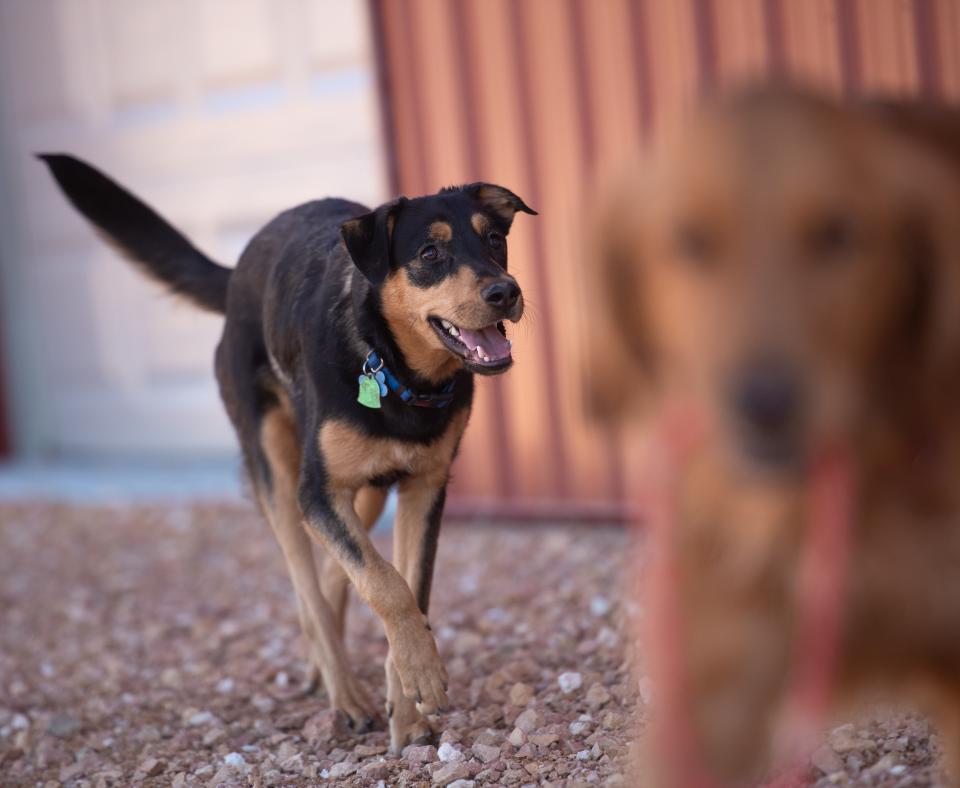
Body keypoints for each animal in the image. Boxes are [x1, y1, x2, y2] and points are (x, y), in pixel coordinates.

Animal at [41, 154, 536, 752]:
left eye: (494, 241)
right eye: (429, 254)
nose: (506, 292)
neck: (395, 369)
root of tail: (239, 269)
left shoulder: (423, 488)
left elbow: (406, 587)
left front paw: (409, 710)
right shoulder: (317, 492)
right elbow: (386, 586)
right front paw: (418, 676)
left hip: (361, 487)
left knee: (332, 577)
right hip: (278, 478)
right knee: (309, 591)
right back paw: (345, 696)